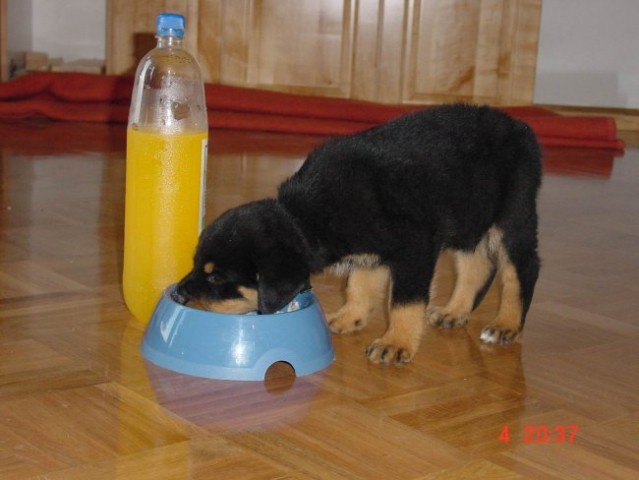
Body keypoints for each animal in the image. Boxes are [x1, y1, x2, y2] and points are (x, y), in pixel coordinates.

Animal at [174, 104, 540, 364]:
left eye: (216, 278)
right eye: (195, 264)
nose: (177, 295)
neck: (304, 218)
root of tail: (520, 127)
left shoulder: (415, 246)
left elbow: (404, 301)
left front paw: (396, 342)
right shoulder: (370, 253)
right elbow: (360, 287)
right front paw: (350, 317)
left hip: (513, 214)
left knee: (522, 268)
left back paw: (506, 325)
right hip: (469, 216)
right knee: (478, 265)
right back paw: (455, 311)